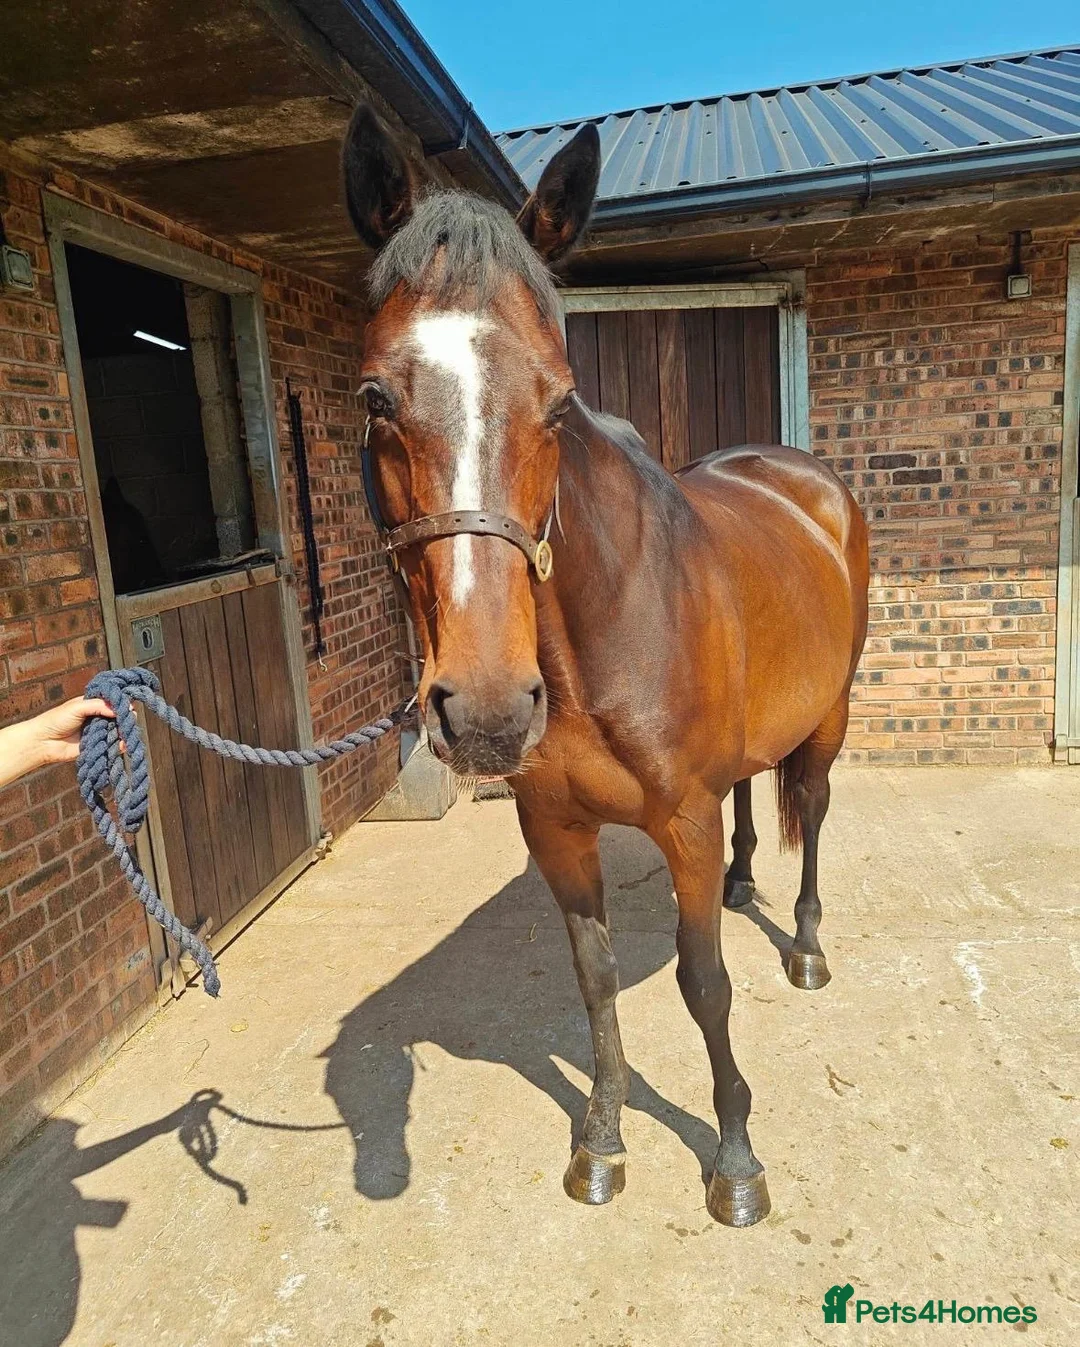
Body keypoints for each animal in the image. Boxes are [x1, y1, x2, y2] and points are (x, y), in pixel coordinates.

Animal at [342, 104, 869, 1227]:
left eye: (557, 402)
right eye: (374, 399)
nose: (488, 710)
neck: (600, 633)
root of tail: (805, 478)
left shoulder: (681, 825)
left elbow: (703, 985)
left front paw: (735, 1159)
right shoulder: (557, 829)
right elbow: (593, 979)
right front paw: (602, 1139)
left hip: (832, 716)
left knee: (813, 811)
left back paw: (804, 945)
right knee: (755, 799)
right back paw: (749, 883)